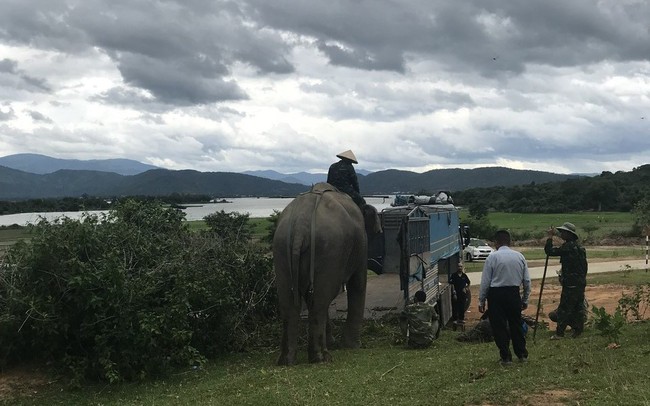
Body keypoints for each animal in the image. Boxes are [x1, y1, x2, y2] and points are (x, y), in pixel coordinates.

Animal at [272, 182, 382, 366]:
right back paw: (322, 357)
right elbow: (358, 283)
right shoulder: (361, 244)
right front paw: (353, 346)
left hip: (281, 249)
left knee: (290, 303)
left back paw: (287, 361)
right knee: (319, 301)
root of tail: (301, 223)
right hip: (329, 248)